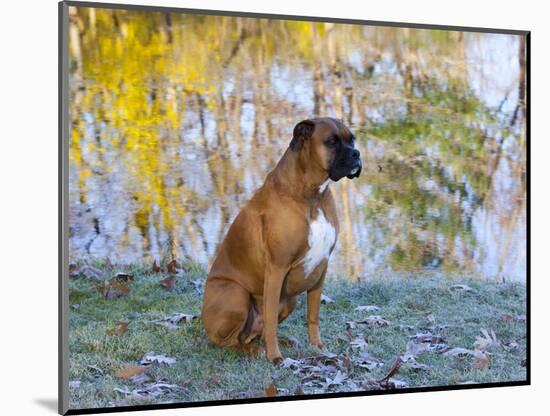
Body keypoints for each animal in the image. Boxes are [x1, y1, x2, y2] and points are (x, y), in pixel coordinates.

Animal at [202, 118, 362, 364]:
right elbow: (270, 324)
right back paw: (252, 350)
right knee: (228, 342)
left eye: (352, 139)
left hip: (289, 299)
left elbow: (313, 315)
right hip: (235, 294)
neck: (312, 194)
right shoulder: (277, 269)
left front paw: (317, 347)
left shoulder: (321, 269)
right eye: (332, 142)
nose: (356, 153)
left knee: (255, 333)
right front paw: (275, 357)